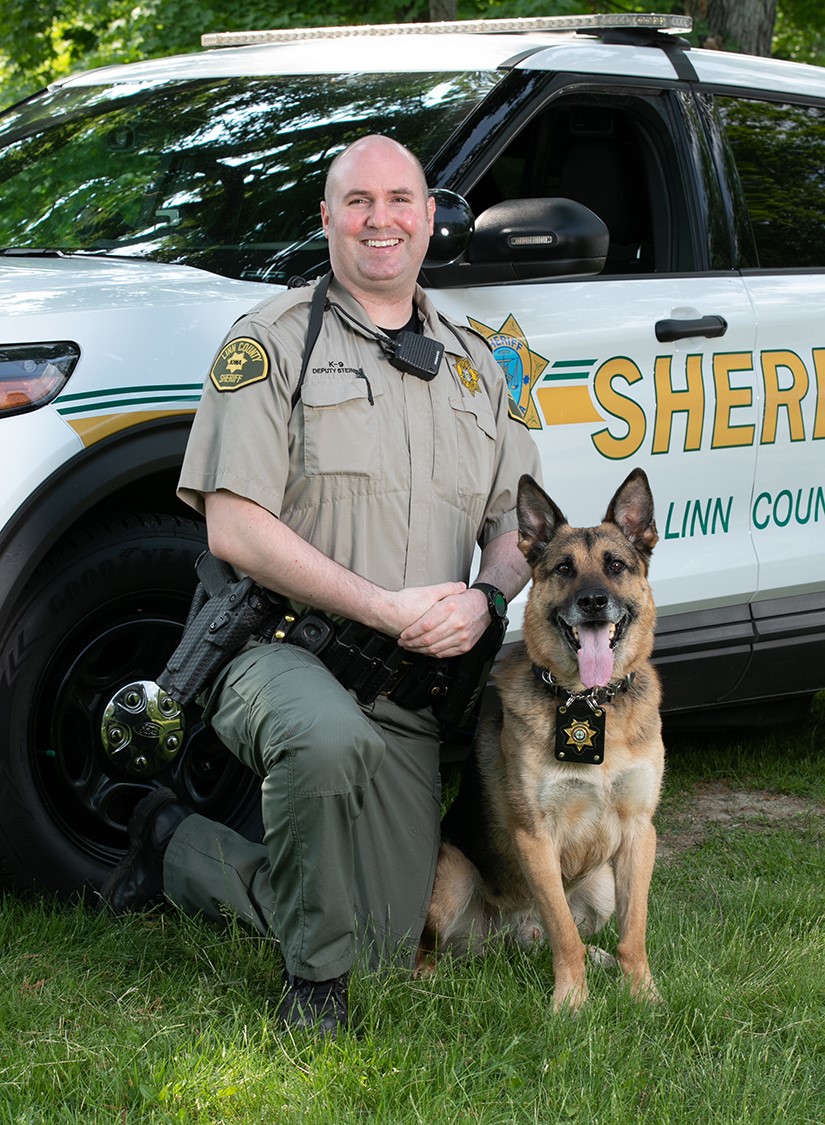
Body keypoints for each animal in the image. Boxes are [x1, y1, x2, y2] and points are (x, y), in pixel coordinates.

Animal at [418, 465, 661, 1012]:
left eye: (615, 565)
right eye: (564, 569)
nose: (592, 603)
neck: (589, 704)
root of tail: (505, 937)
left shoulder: (640, 832)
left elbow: (633, 931)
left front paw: (643, 993)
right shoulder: (536, 837)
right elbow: (564, 933)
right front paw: (571, 1005)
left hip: (601, 885)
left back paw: (602, 960)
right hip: (453, 874)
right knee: (429, 947)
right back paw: (426, 983)